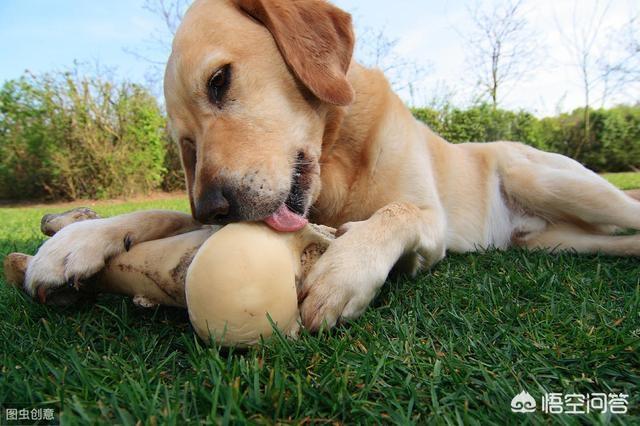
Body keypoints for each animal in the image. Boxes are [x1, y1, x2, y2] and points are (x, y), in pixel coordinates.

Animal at [23, 0, 640, 330]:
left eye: (219, 80)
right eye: (187, 143)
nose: (215, 211)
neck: (337, 159)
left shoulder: (430, 222)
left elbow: (393, 213)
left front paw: (344, 271)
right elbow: (153, 213)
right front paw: (74, 243)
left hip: (548, 180)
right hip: (559, 242)